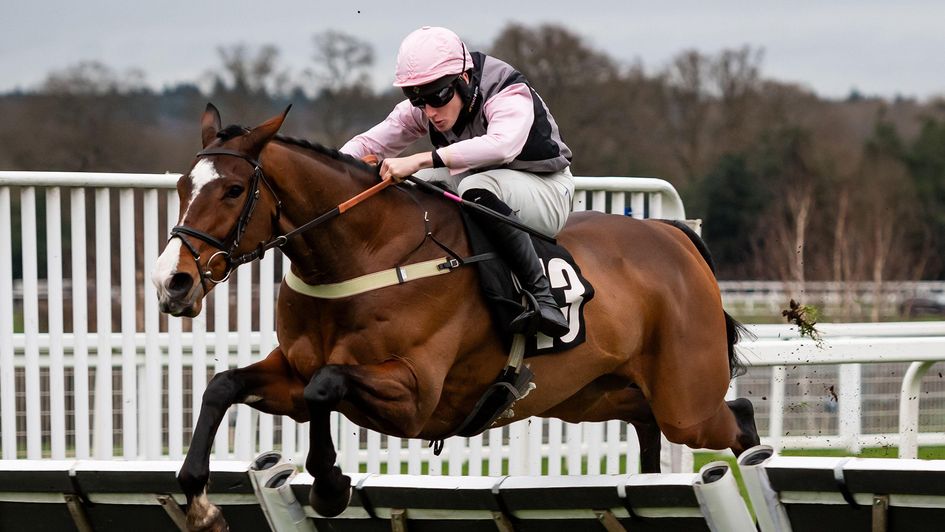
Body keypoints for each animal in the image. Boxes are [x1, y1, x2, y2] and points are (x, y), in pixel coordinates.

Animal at [155, 103, 760, 528]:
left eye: (234, 189)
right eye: (183, 186)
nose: (172, 282)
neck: (366, 252)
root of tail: (672, 236)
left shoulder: (415, 396)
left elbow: (325, 385)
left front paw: (328, 484)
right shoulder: (292, 372)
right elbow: (225, 386)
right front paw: (199, 498)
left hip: (686, 400)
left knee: (738, 417)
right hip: (593, 394)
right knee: (651, 422)